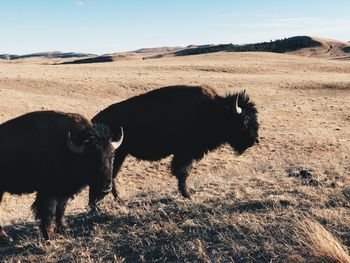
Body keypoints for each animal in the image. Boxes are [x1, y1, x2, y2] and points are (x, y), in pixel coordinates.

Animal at [0, 110, 123, 242]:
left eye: (112, 156)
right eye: (89, 159)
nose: (106, 189)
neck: (68, 149)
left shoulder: (64, 191)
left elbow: (61, 209)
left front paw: (64, 229)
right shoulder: (48, 192)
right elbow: (49, 212)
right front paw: (49, 236)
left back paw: (6, 237)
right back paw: (7, 238)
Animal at [91, 85, 260, 204]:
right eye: (245, 120)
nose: (255, 140)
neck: (212, 111)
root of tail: (95, 121)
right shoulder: (185, 154)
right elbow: (183, 173)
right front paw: (187, 195)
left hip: (120, 154)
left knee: (112, 175)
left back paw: (116, 199)